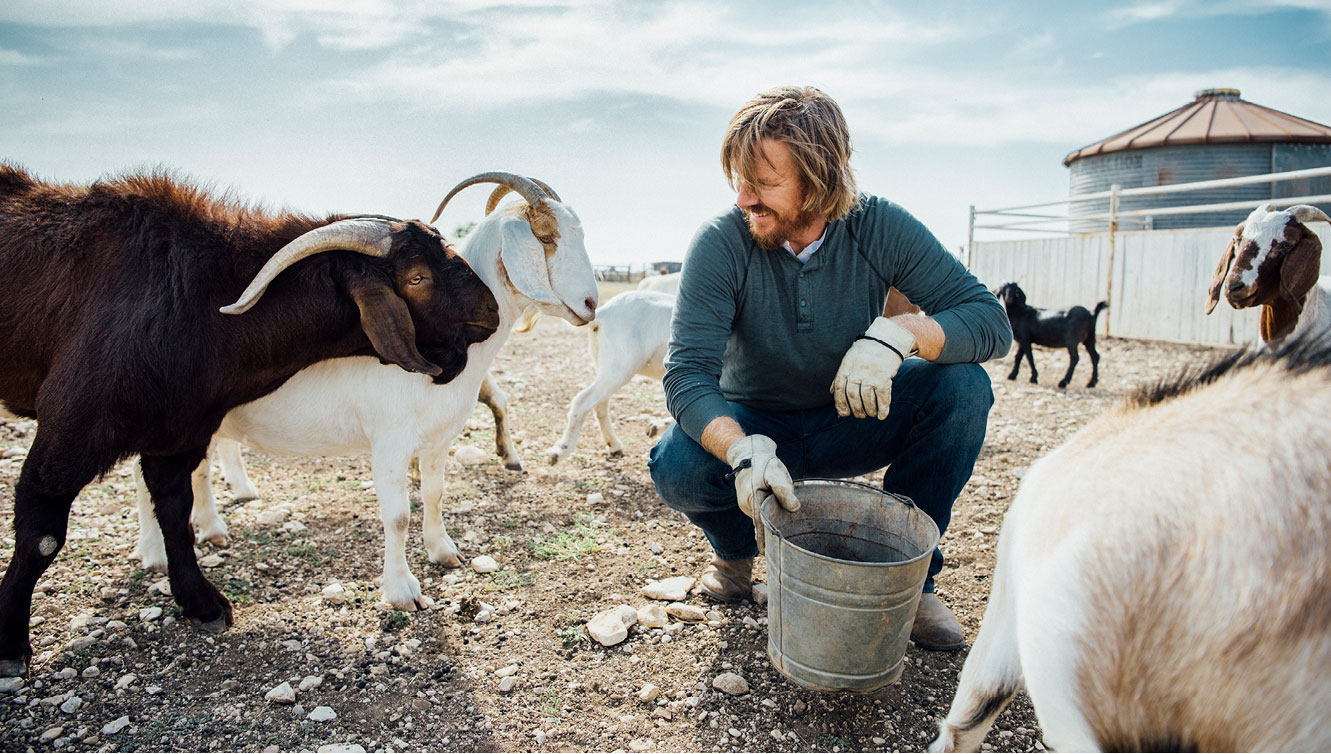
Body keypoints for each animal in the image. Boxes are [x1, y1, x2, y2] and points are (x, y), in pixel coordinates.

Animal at [0, 165, 500, 679]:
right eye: (417, 276)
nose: (492, 310)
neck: (197, 299)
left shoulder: (177, 432)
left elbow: (176, 511)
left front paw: (202, 605)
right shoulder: (73, 424)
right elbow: (42, 535)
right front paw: (10, 646)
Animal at [137, 174, 596, 612]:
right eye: (548, 237)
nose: (591, 304)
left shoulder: (439, 439)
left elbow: (434, 494)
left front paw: (444, 552)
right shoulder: (389, 442)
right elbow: (397, 516)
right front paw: (402, 591)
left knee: (194, 469)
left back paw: (213, 528)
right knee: (149, 482)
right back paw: (155, 553)